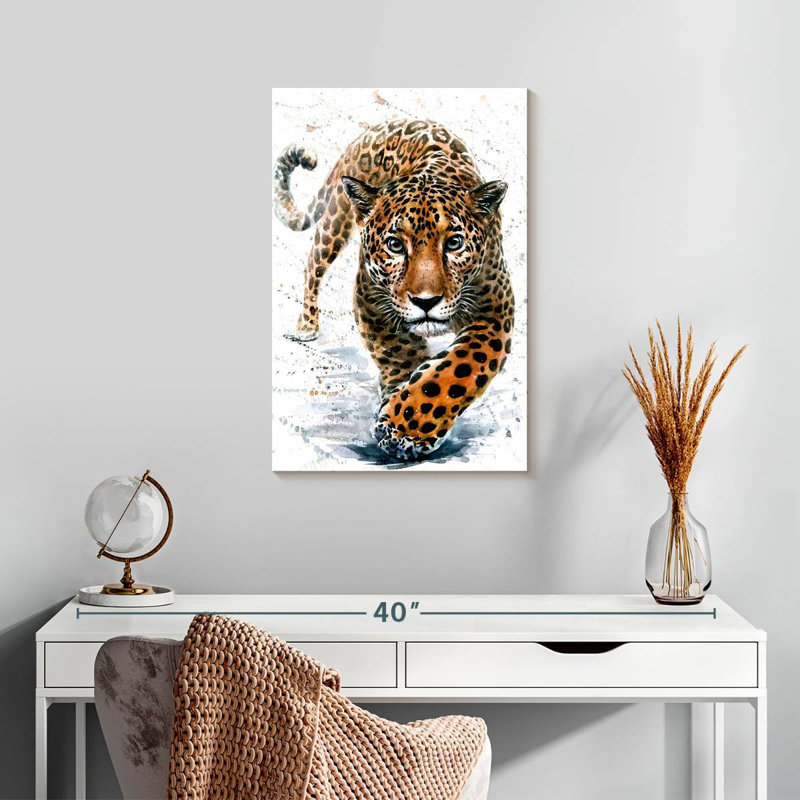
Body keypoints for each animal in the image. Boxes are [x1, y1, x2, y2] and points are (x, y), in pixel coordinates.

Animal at [273, 118, 514, 461]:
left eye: (454, 243)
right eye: (395, 245)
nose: (425, 301)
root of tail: (381, 125)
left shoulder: (496, 310)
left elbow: (459, 367)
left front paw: (406, 426)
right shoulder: (371, 300)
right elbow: (399, 352)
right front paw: (402, 417)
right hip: (336, 219)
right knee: (313, 263)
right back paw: (306, 324)